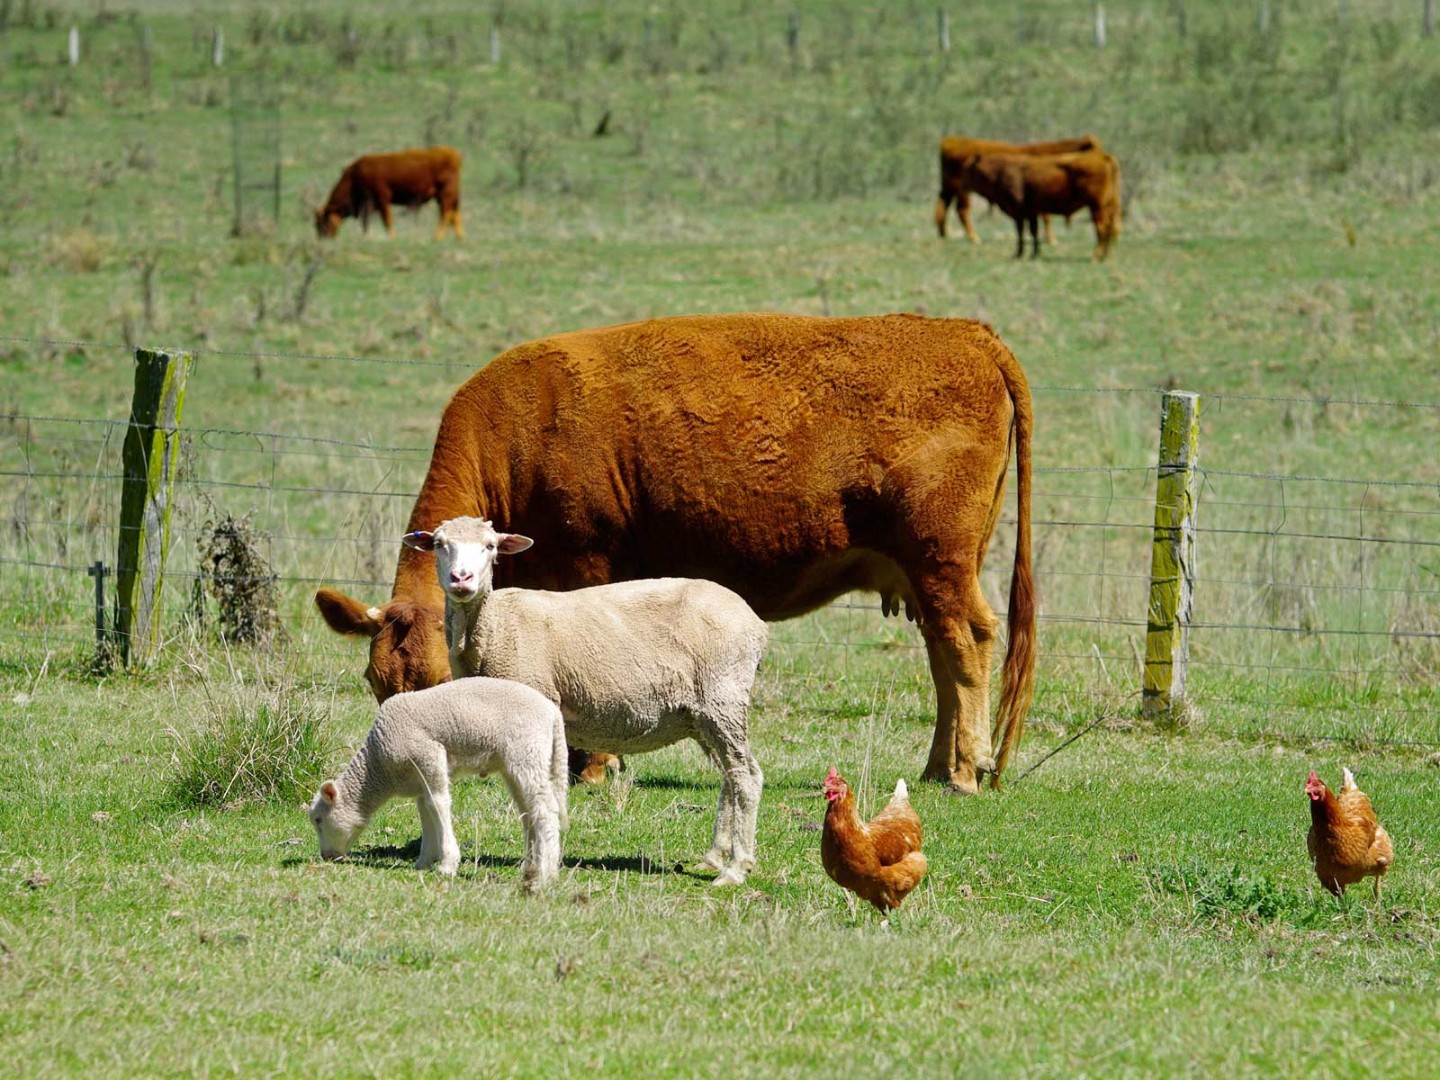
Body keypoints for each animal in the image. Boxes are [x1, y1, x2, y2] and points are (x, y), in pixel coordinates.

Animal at [309, 676, 567, 898]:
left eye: (319, 821)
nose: (326, 856)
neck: (379, 767)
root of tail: (553, 714)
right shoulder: (420, 775)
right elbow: (425, 809)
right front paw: (424, 860)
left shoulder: (428, 755)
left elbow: (438, 804)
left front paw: (447, 864)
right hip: (519, 762)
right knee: (528, 813)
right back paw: (532, 865)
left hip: (527, 751)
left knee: (545, 811)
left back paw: (546, 871)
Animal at [315, 144, 460, 240]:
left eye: (323, 221)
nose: (322, 239)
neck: (354, 176)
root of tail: (451, 152)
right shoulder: (367, 207)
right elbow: (365, 223)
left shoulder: (382, 200)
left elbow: (387, 220)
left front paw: (392, 236)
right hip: (449, 196)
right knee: (455, 214)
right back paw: (459, 238)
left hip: (445, 194)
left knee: (446, 214)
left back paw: (437, 237)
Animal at [315, 312, 1036, 794]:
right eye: (378, 685)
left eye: (439, 685)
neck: (516, 431)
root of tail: (968, 333)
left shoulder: (584, 563)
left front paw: (594, 767)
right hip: (927, 572)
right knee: (943, 655)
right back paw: (937, 766)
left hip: (940, 560)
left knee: (967, 642)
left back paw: (964, 771)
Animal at [400, 518, 771, 887]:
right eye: (438, 544)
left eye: (490, 546)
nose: (461, 579)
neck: (492, 627)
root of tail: (754, 622)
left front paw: (541, 858)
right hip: (704, 714)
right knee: (729, 777)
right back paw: (714, 857)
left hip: (723, 698)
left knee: (746, 776)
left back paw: (736, 868)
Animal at [956, 149, 1123, 260]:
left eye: (966, 169)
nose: (960, 185)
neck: (1001, 171)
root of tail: (1103, 156)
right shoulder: (1032, 212)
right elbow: (1033, 232)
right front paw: (1034, 254)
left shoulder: (1019, 212)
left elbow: (1021, 233)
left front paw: (1018, 254)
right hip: (1107, 207)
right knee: (1110, 228)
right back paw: (1106, 255)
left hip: (1096, 207)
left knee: (1102, 228)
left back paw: (1096, 256)